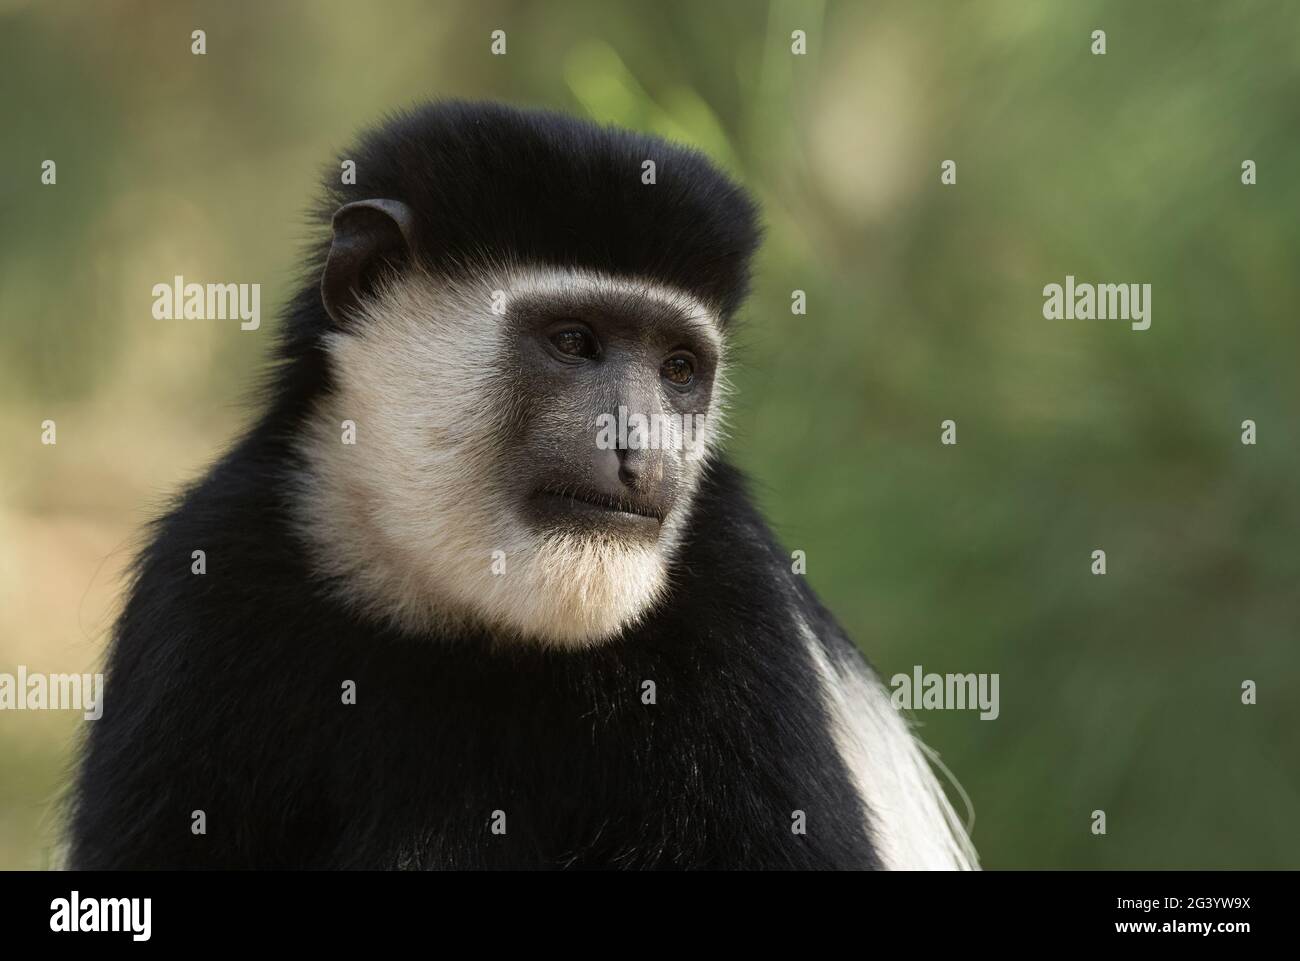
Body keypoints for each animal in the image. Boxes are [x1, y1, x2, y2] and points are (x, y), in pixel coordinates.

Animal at [65, 99, 972, 873]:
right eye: (574, 341)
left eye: (679, 369)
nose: (641, 454)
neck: (470, 616)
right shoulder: (207, 576)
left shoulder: (734, 607)